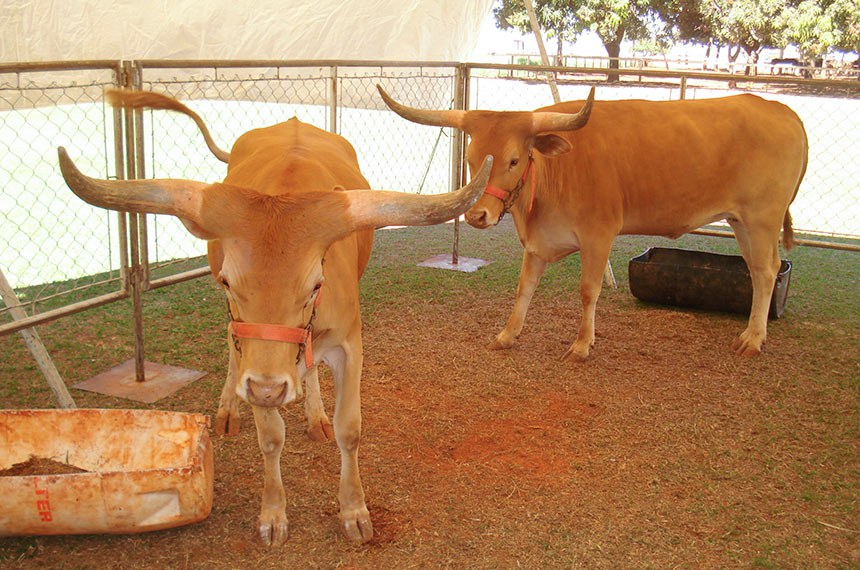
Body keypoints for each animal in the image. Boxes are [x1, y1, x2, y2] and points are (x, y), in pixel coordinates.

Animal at [58, 90, 490, 544]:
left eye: (316, 285)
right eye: (229, 281)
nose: (267, 390)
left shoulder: (350, 345)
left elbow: (349, 429)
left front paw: (354, 510)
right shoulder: (252, 351)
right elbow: (269, 437)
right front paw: (273, 513)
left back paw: (314, 413)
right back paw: (230, 409)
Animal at [380, 83, 808, 360]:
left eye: (514, 160)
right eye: (471, 158)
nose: (477, 215)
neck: (556, 171)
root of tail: (782, 110)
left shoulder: (599, 236)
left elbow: (589, 290)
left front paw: (583, 344)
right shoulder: (538, 242)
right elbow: (524, 289)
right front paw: (507, 334)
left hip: (761, 220)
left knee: (766, 271)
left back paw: (753, 339)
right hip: (741, 221)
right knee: (756, 271)